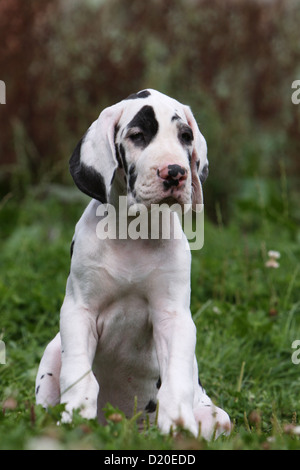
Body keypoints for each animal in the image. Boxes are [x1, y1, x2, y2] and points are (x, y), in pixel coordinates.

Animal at [36, 88, 231, 440]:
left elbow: (176, 379)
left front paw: (176, 425)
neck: (133, 232)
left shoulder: (173, 316)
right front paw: (76, 417)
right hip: (52, 352)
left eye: (185, 137)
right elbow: (79, 375)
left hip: (219, 418)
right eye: (138, 136)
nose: (175, 172)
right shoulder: (79, 310)